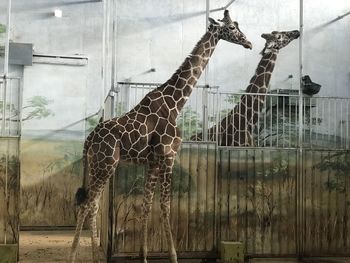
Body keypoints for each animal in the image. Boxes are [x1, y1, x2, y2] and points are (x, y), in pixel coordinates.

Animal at [68, 10, 253, 263]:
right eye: (233, 27)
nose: (249, 43)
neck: (175, 103)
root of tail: (88, 141)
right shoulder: (168, 156)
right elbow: (165, 206)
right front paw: (173, 256)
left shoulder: (153, 161)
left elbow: (147, 206)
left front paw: (144, 256)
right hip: (106, 164)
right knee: (86, 205)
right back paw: (74, 256)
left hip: (98, 165)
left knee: (92, 204)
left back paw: (96, 256)